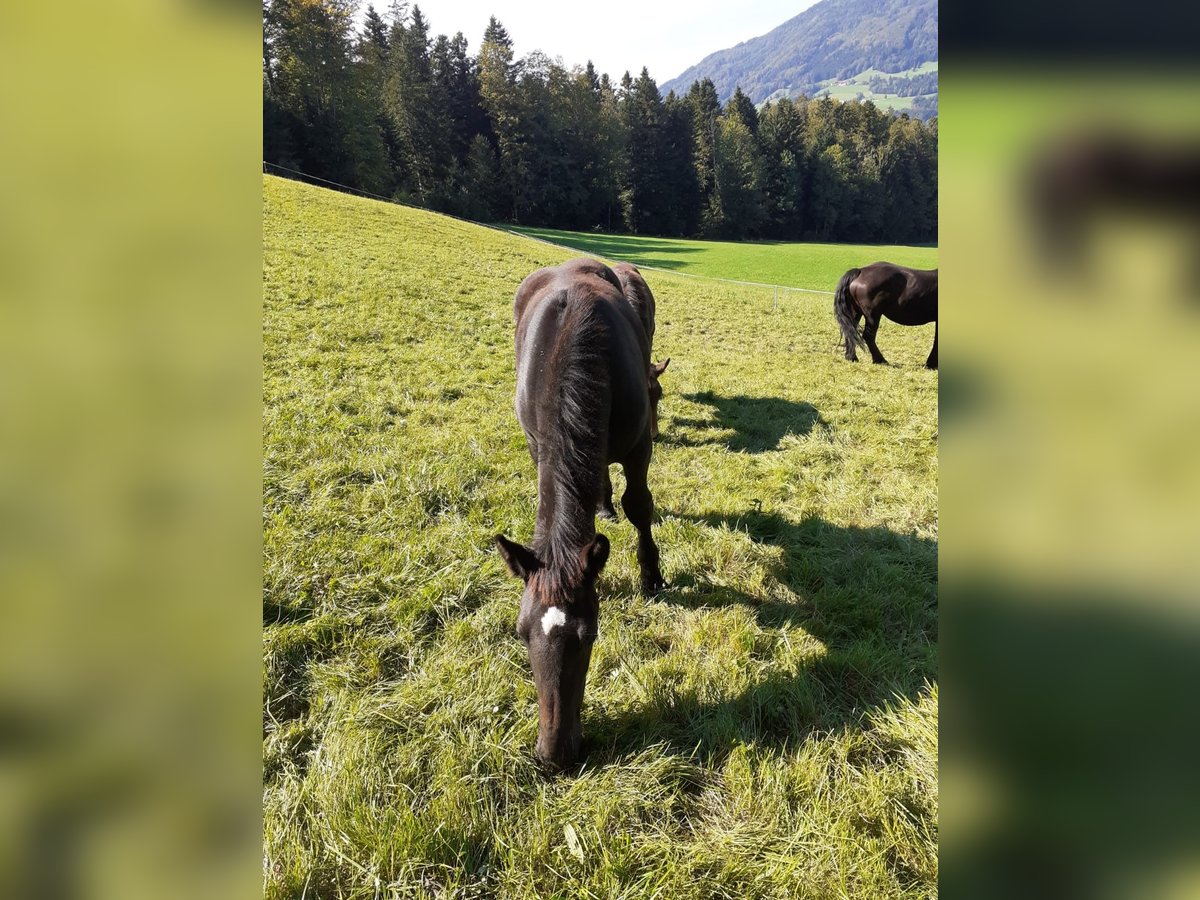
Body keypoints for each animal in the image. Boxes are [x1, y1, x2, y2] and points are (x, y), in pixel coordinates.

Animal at [494, 256, 667, 772]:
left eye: (589, 635)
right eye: (520, 633)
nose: (554, 754)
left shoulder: (638, 443)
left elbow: (640, 505)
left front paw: (651, 574)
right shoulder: (538, 446)